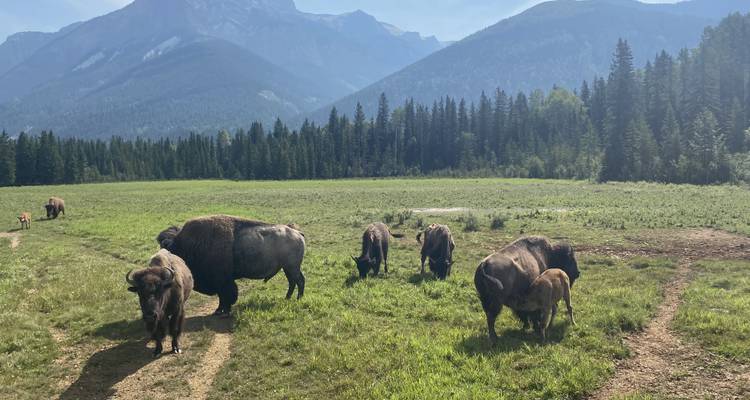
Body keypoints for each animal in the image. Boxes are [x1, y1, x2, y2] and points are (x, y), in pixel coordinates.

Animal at [157, 216, 306, 316]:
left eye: (171, 252)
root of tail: (297, 232)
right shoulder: (220, 282)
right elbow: (222, 297)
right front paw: (219, 310)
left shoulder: (223, 281)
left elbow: (226, 295)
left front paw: (223, 311)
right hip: (288, 268)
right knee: (294, 282)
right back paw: (288, 298)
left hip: (292, 267)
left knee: (299, 281)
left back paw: (297, 299)